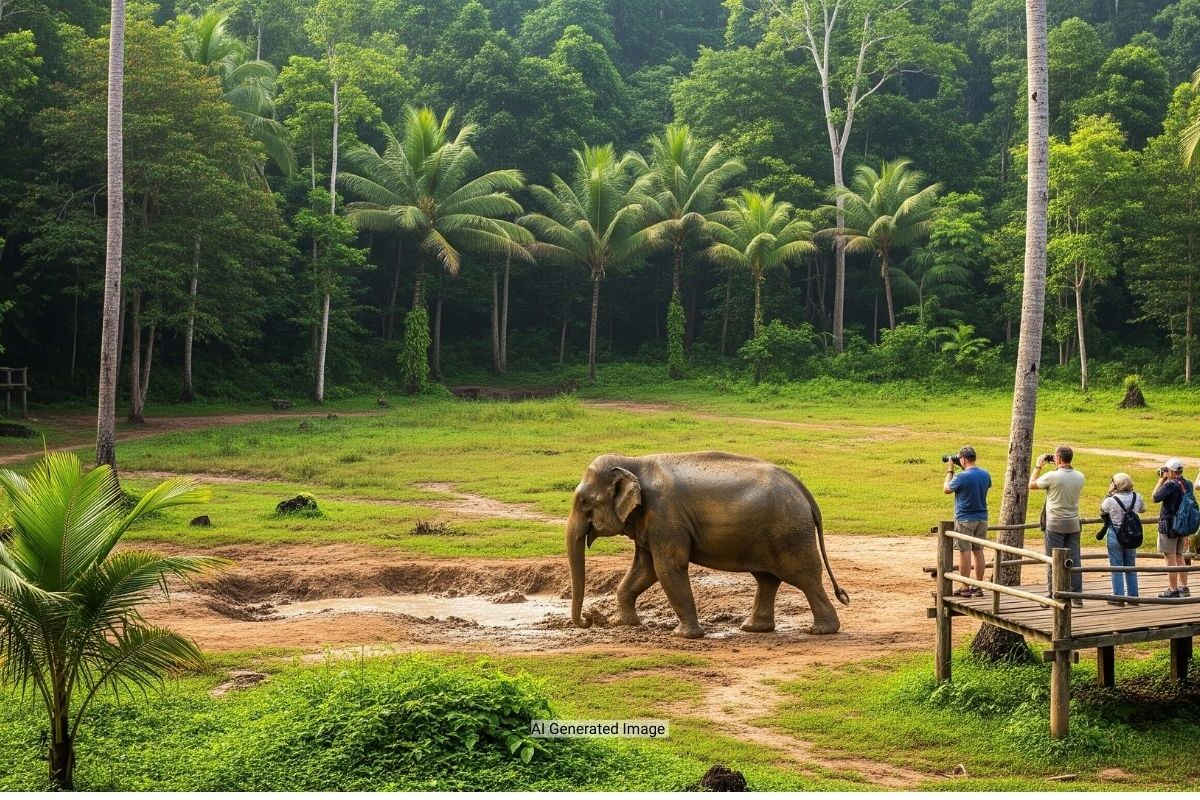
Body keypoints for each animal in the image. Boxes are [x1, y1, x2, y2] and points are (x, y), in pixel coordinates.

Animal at [566, 451, 850, 639]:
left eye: (583, 502)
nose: (590, 619)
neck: (633, 462)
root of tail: (804, 491)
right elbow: (644, 569)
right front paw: (623, 624)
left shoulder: (665, 516)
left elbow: (668, 567)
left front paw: (683, 636)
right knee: (767, 579)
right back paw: (753, 628)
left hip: (790, 533)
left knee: (804, 576)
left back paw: (821, 630)